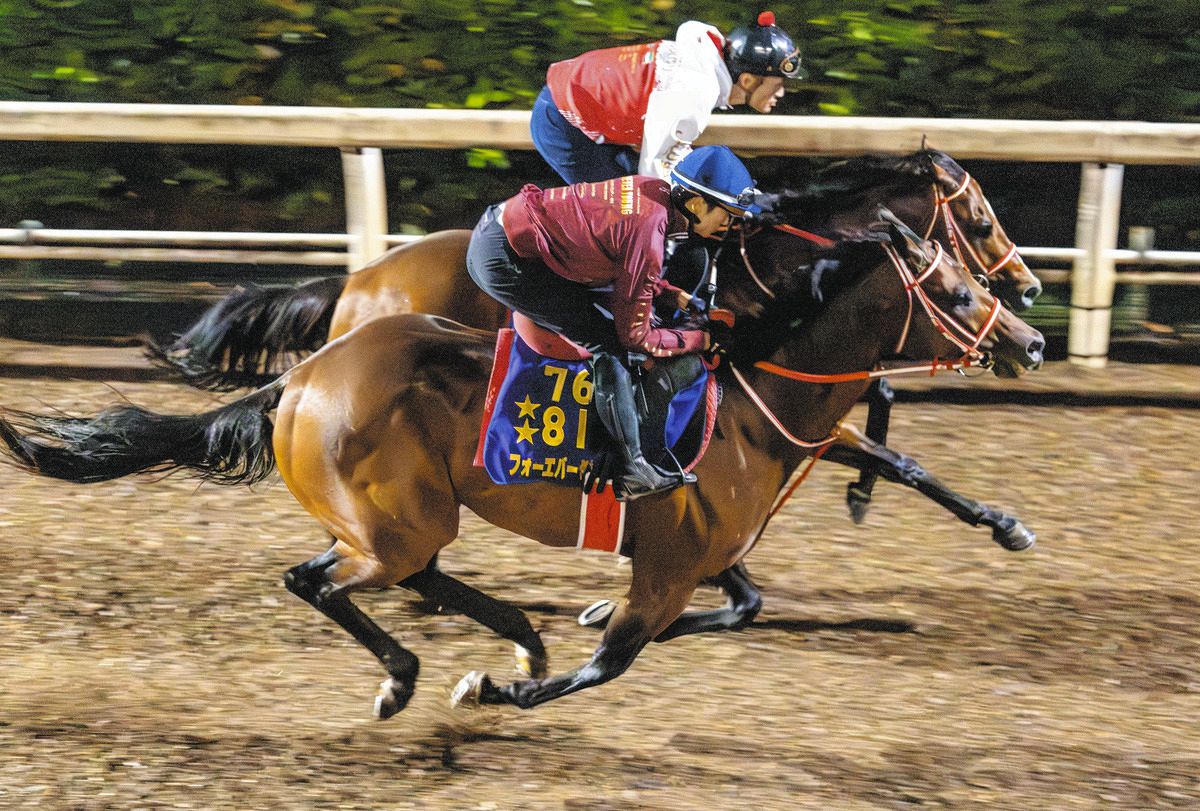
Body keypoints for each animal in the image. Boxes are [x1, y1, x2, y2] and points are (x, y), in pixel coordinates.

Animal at [0, 217, 1045, 717]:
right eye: (956, 287)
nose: (1031, 335)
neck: (752, 394)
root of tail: (298, 378)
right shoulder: (671, 563)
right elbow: (615, 660)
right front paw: (498, 688)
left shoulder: (701, 551)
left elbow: (735, 604)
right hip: (396, 518)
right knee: (327, 579)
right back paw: (418, 673)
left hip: (400, 515)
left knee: (392, 577)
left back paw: (511, 635)